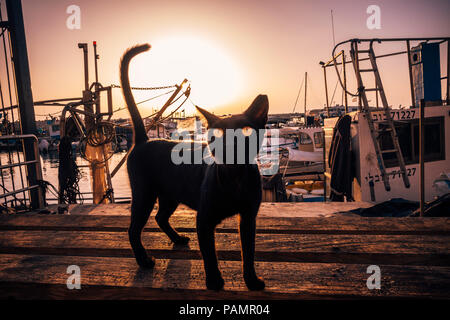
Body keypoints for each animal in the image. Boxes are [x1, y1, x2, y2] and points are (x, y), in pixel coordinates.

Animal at [120, 43, 268, 292]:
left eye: (245, 131)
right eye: (217, 133)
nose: (229, 144)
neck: (235, 178)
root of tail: (144, 140)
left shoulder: (248, 217)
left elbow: (248, 252)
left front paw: (251, 280)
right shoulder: (204, 219)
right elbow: (209, 253)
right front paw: (215, 282)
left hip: (170, 195)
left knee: (160, 217)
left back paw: (178, 238)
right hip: (144, 194)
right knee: (133, 229)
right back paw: (144, 260)